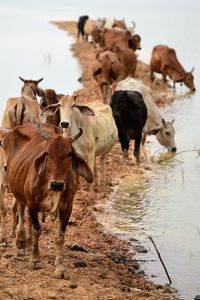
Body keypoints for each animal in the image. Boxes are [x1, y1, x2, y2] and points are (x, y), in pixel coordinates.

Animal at [1, 121, 93, 276]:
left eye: (69, 154)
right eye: (47, 153)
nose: (57, 184)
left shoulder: (68, 207)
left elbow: (59, 237)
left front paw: (59, 267)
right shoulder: (32, 203)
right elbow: (37, 230)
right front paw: (34, 260)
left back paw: (28, 241)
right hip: (18, 190)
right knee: (20, 209)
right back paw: (21, 239)